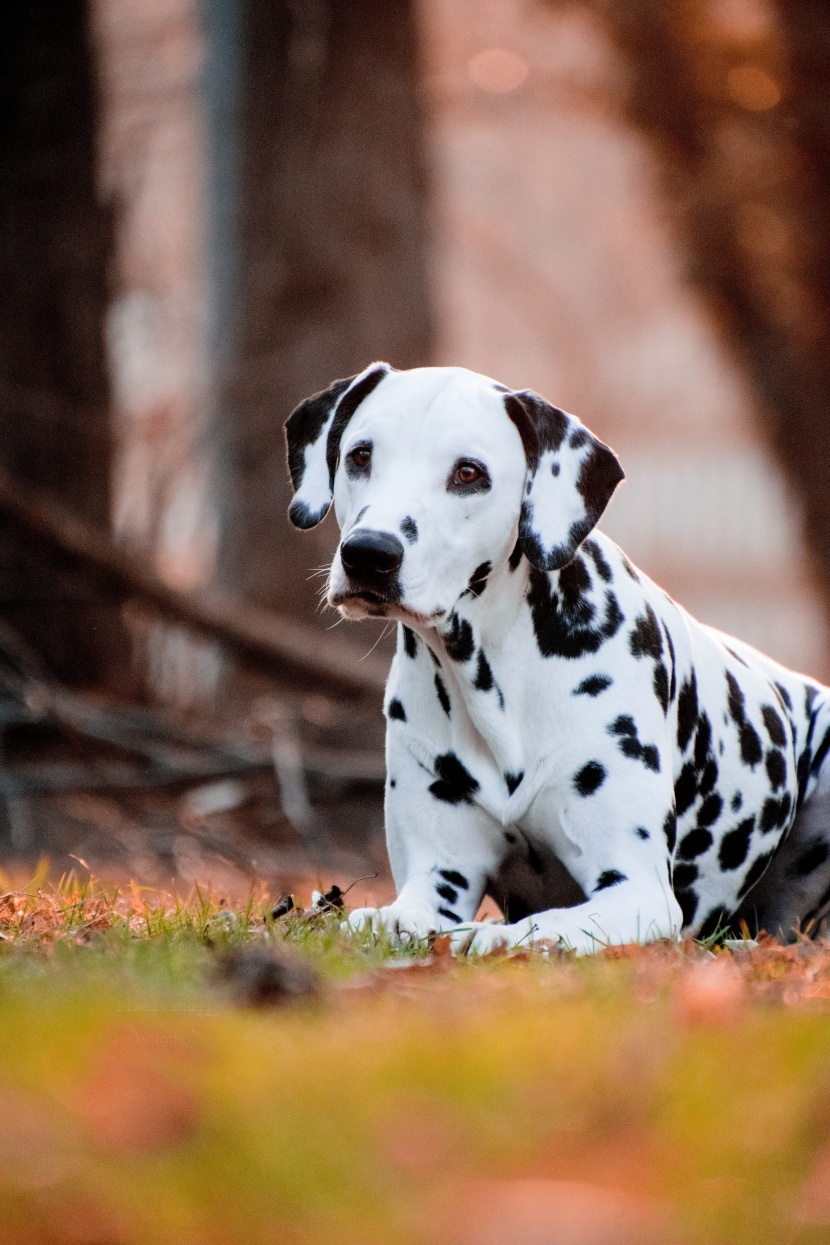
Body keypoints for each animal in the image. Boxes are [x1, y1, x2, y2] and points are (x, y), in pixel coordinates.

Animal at [283, 361, 830, 951]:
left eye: (468, 473)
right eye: (360, 455)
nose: (369, 553)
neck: (494, 677)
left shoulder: (638, 891)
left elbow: (547, 923)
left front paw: (496, 936)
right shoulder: (438, 879)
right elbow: (393, 915)